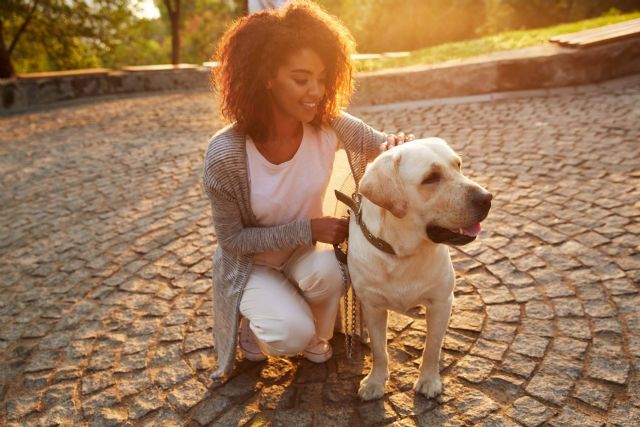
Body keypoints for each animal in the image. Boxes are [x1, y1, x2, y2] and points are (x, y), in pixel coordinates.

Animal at [348, 138, 492, 402]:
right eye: (431, 178)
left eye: (458, 165)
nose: (487, 198)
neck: (403, 253)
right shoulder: (373, 306)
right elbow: (379, 349)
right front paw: (375, 381)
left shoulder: (441, 302)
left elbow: (432, 347)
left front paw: (429, 380)